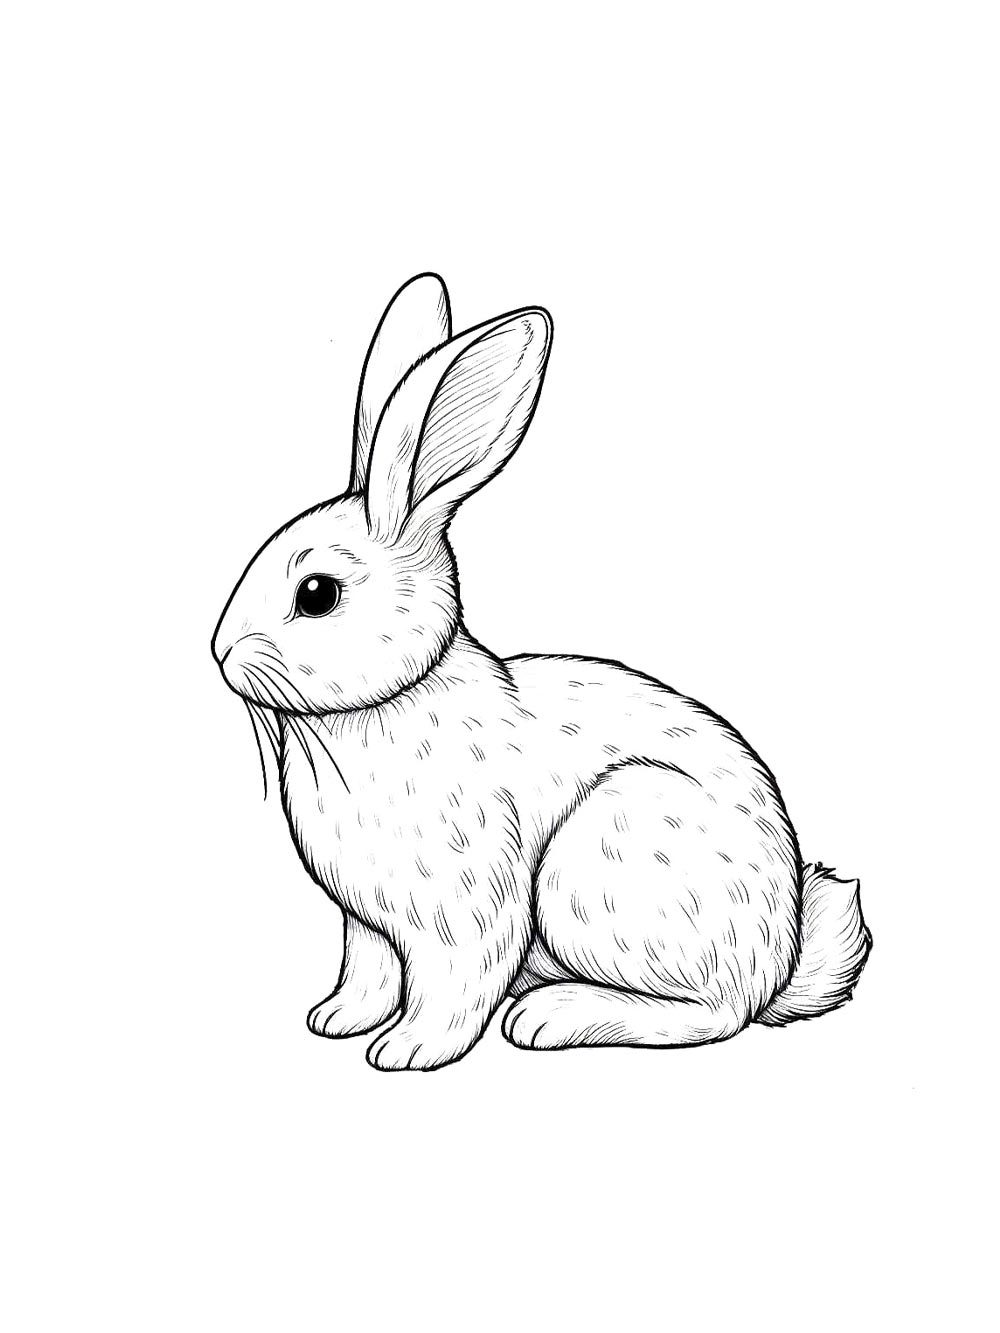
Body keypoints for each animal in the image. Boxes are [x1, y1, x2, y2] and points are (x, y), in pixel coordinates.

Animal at [211, 273, 871, 1071]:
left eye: (317, 594)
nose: (220, 652)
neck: (389, 704)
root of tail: (778, 958)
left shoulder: (465, 910)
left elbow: (456, 987)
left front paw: (407, 1051)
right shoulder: (365, 924)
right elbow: (367, 972)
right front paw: (336, 1019)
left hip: (601, 862)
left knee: (712, 1015)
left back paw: (550, 1016)